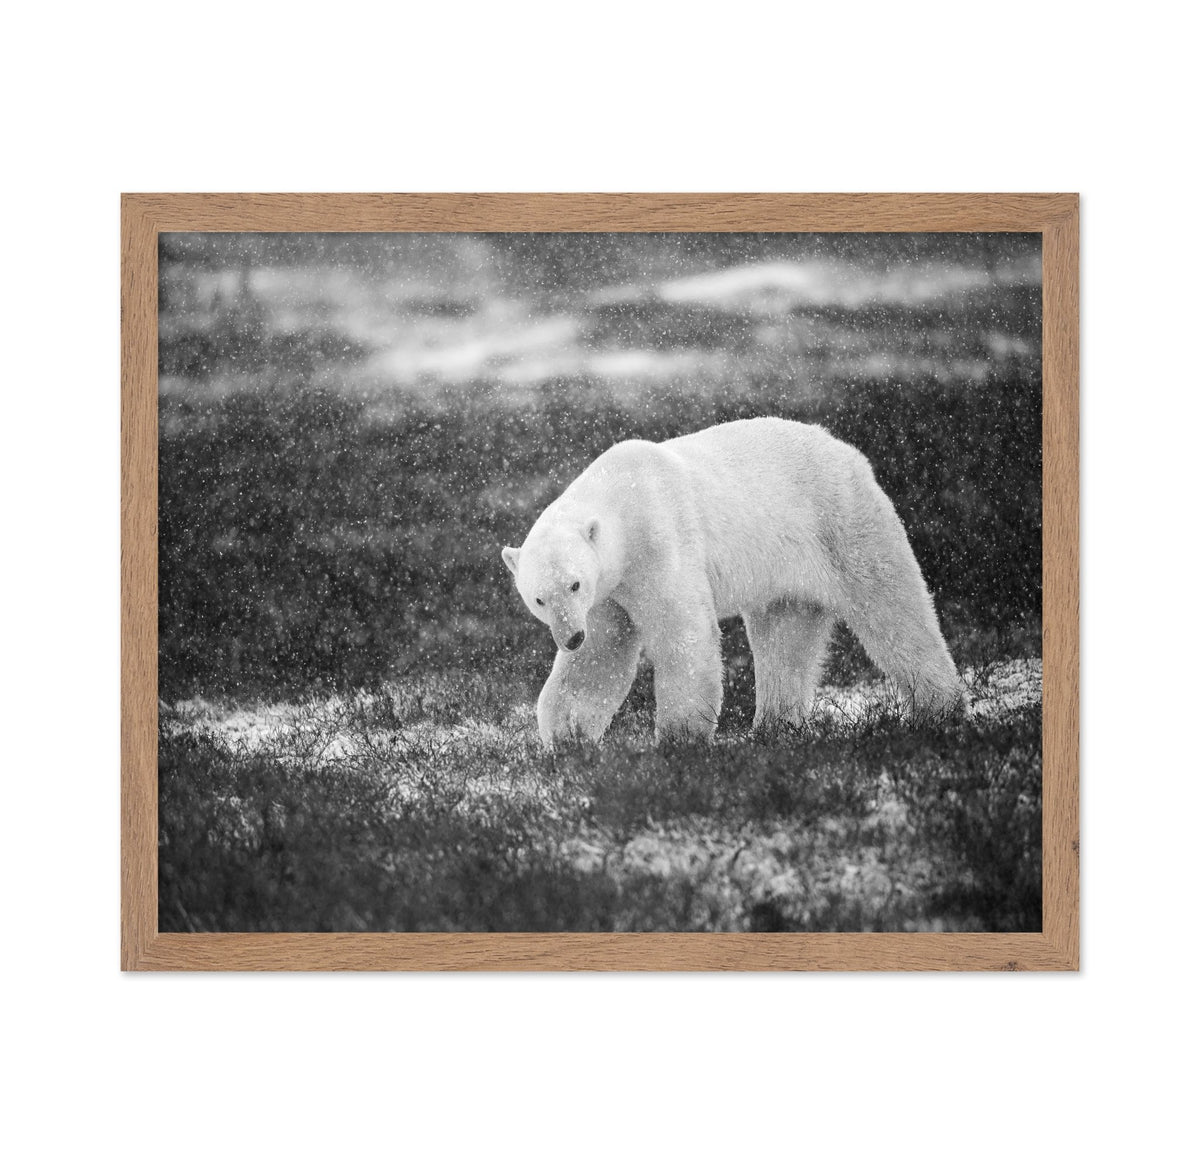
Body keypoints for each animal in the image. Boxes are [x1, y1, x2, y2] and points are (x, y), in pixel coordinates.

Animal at [501, 417, 963, 747]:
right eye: (539, 599)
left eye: (574, 585)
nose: (570, 637)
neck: (621, 498)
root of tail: (847, 450)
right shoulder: (608, 595)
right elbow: (600, 657)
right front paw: (567, 738)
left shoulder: (660, 543)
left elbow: (683, 633)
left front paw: (680, 739)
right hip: (785, 570)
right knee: (786, 638)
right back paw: (774, 727)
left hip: (842, 523)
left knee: (892, 608)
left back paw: (938, 708)